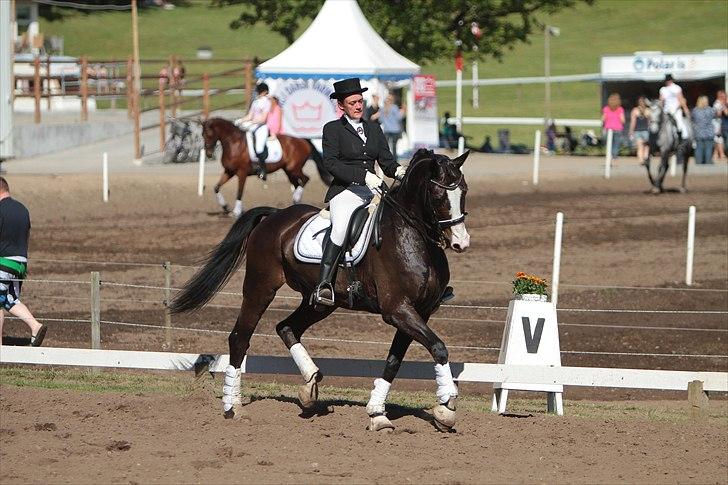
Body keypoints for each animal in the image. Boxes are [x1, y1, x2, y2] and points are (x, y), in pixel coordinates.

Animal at [168, 148, 470, 432]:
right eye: (438, 195)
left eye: (464, 191)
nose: (461, 242)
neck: (410, 236)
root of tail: (275, 216)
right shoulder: (397, 310)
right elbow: (439, 348)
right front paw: (446, 406)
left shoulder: (418, 311)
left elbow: (395, 360)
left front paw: (378, 413)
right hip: (260, 287)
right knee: (240, 337)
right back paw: (232, 407)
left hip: (319, 302)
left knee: (286, 327)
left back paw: (310, 386)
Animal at [202, 117, 332, 216]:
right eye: (202, 135)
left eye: (209, 134)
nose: (208, 154)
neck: (234, 144)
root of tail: (302, 140)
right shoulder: (229, 171)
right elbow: (216, 187)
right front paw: (225, 207)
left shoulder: (241, 173)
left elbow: (239, 192)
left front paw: (236, 212)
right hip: (288, 171)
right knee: (297, 183)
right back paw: (296, 203)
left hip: (293, 168)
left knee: (305, 179)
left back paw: (296, 199)